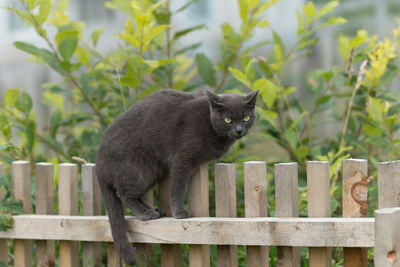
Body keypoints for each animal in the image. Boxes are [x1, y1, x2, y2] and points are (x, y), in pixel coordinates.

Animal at [97, 89, 260, 264]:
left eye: (246, 118)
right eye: (228, 120)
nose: (239, 130)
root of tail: (100, 160)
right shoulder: (182, 160)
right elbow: (178, 188)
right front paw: (179, 213)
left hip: (153, 171)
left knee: (135, 194)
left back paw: (154, 210)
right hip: (139, 170)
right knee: (124, 194)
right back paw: (145, 214)